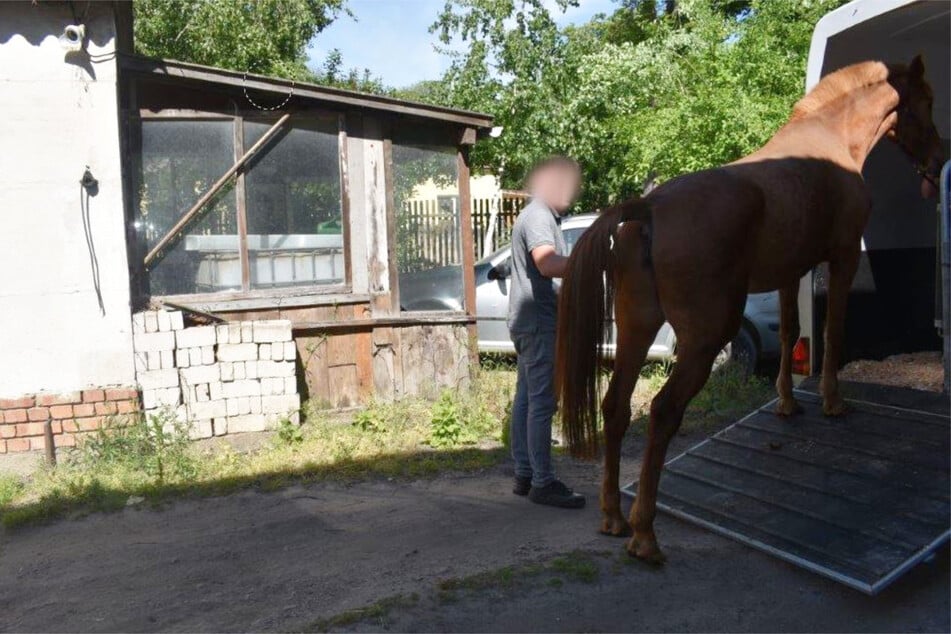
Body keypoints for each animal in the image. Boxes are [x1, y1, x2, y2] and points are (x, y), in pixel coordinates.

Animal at [556, 58, 944, 564]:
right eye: (928, 99)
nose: (939, 158)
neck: (831, 137)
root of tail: (649, 206)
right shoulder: (841, 258)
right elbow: (833, 331)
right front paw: (832, 402)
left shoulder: (791, 271)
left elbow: (791, 332)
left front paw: (786, 403)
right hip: (703, 341)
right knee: (662, 412)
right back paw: (644, 535)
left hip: (636, 331)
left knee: (616, 407)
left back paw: (614, 518)